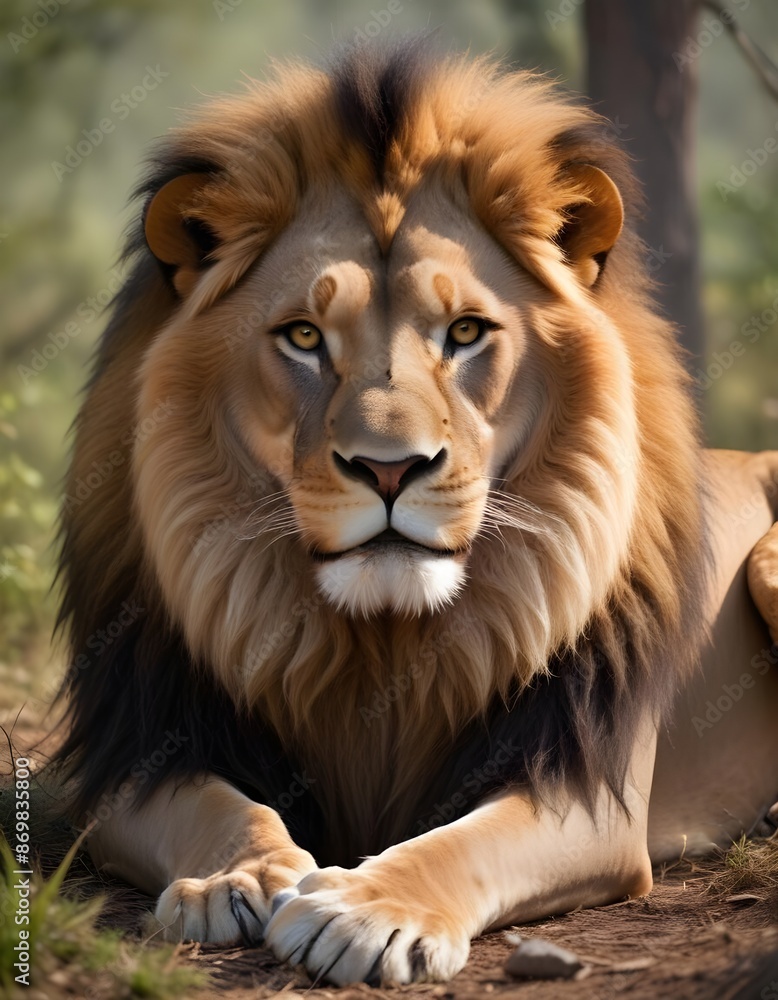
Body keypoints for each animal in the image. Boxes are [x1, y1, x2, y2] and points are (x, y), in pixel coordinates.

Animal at [53, 41, 778, 986]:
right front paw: (234, 876)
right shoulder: (128, 756)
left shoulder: (587, 787)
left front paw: (367, 910)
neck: (382, 640)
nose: (389, 468)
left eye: (465, 332)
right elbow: (214, 804)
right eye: (303, 337)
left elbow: (462, 842)